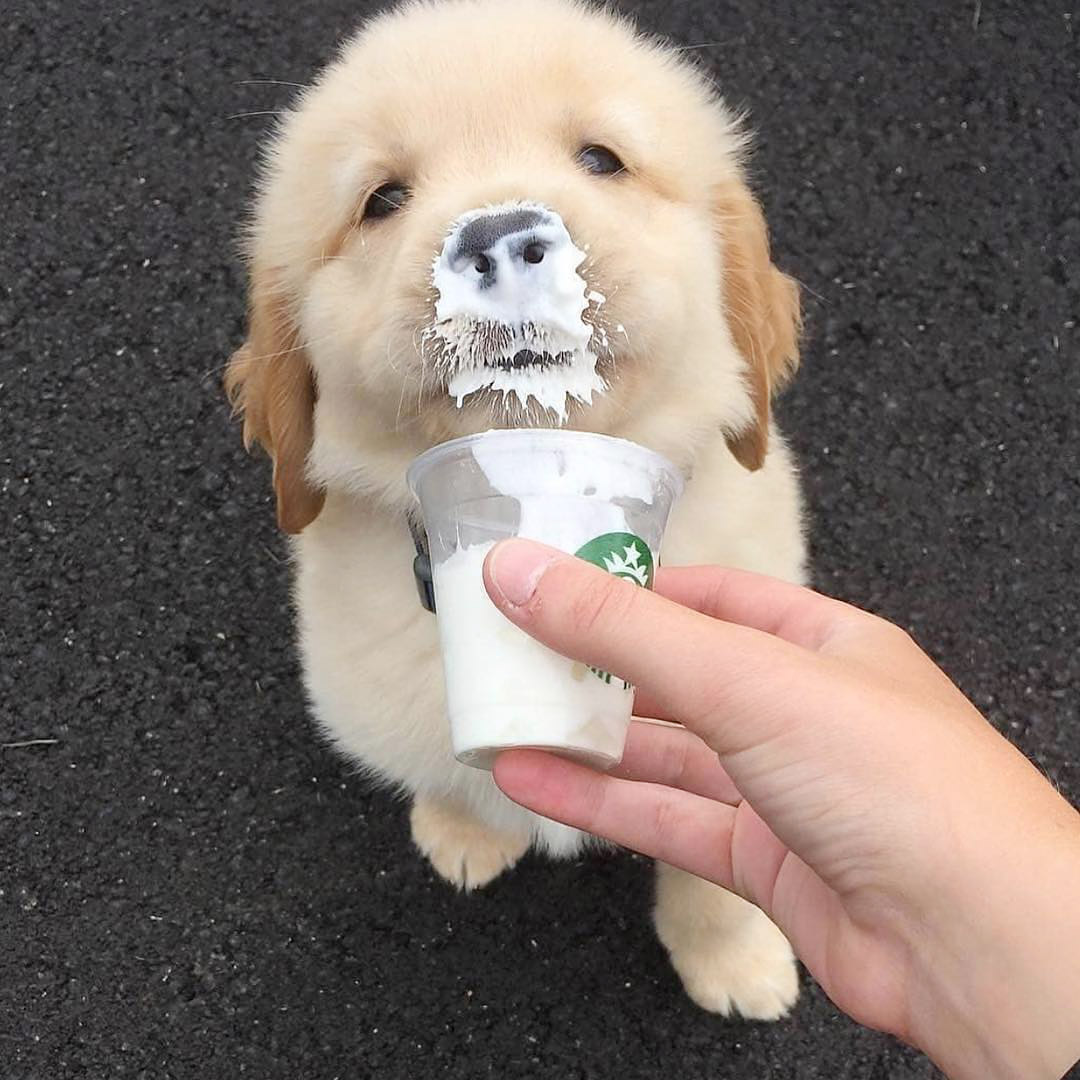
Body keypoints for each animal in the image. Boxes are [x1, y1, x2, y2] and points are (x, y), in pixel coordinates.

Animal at [226, 0, 805, 1019]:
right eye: (382, 199)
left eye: (602, 158)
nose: (497, 239)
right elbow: (452, 762)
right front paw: (464, 827)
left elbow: (718, 865)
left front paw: (734, 958)